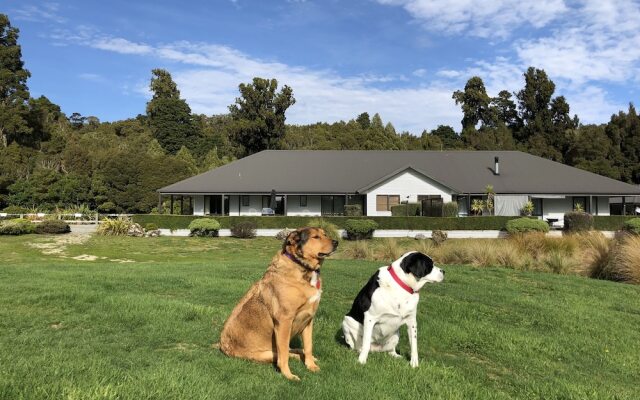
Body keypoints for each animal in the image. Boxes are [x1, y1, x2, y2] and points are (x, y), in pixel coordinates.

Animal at [219, 227, 340, 380]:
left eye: (325, 234)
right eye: (316, 237)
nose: (336, 242)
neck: (301, 267)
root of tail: (222, 346)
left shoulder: (308, 319)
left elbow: (308, 346)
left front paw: (311, 365)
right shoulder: (284, 321)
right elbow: (284, 356)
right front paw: (288, 375)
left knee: (293, 350)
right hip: (268, 353)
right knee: (283, 354)